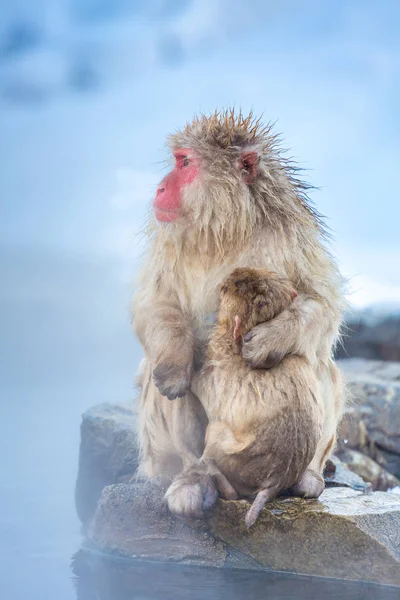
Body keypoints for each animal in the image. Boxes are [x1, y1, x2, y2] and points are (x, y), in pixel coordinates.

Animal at [191, 268, 324, 524]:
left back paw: (218, 479)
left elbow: (201, 386)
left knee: (215, 435)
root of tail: (275, 482)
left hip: (230, 453)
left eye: (233, 285)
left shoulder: (216, 363)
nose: (227, 278)